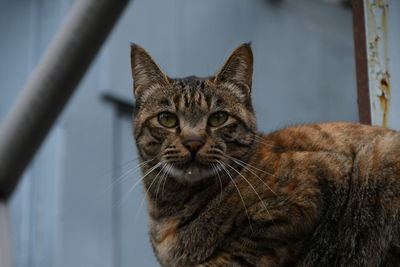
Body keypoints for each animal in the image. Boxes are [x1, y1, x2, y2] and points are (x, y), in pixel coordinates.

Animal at [130, 43, 398, 266]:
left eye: (218, 118)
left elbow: (238, 253)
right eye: (167, 119)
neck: (169, 208)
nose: (193, 142)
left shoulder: (303, 198)